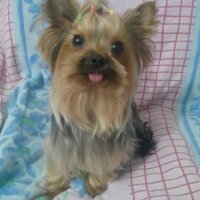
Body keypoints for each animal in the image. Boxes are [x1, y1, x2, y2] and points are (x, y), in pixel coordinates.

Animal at [38, 0, 158, 197]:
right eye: (77, 40)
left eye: (117, 47)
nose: (97, 59)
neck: (91, 95)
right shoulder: (60, 142)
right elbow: (58, 159)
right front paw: (56, 184)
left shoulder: (110, 150)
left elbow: (103, 163)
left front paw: (95, 183)